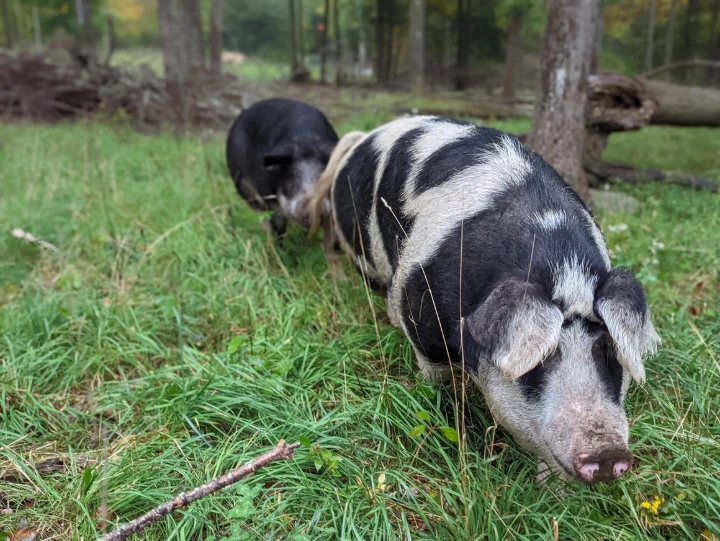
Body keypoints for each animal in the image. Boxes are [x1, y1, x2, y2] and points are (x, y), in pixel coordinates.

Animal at [226, 98, 339, 236]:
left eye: (324, 178)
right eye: (292, 178)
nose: (312, 212)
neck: (306, 141)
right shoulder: (270, 199)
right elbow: (278, 226)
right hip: (241, 183)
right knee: (258, 210)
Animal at [309, 116, 661, 485]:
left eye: (607, 350)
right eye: (544, 357)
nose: (607, 455)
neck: (561, 267)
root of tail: (365, 137)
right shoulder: (423, 326)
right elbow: (436, 378)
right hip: (362, 252)